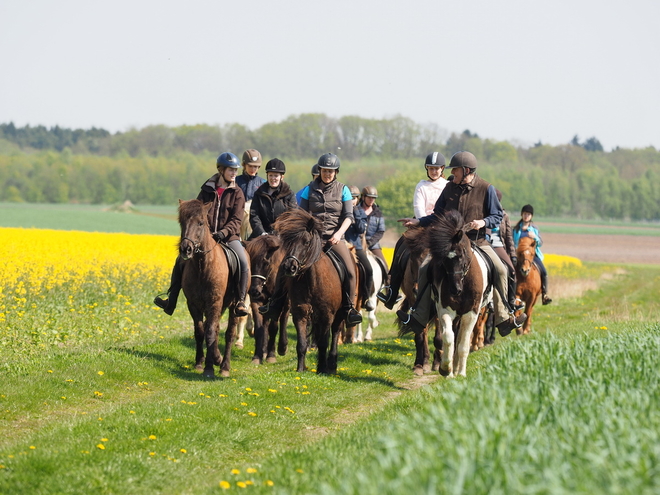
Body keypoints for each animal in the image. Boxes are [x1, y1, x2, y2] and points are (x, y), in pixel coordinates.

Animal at [177, 200, 246, 378]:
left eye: (201, 223)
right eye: (182, 222)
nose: (186, 249)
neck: (203, 266)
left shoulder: (214, 303)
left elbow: (210, 333)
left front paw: (211, 365)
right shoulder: (194, 304)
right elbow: (201, 332)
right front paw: (201, 363)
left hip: (233, 306)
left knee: (229, 334)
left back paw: (225, 366)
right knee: (214, 328)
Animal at [245, 232, 288, 364]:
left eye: (266, 263)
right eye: (249, 262)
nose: (254, 290)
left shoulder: (276, 305)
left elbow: (274, 328)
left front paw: (271, 355)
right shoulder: (257, 302)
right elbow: (259, 329)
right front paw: (257, 356)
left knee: (284, 318)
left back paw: (282, 347)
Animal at [272, 207, 356, 374]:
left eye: (306, 242)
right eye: (288, 242)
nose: (289, 267)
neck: (312, 280)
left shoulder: (327, 314)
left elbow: (324, 342)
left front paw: (322, 369)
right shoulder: (300, 313)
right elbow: (302, 344)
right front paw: (300, 369)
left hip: (340, 313)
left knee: (335, 333)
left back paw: (332, 365)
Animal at [404, 211, 492, 378]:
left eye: (462, 254)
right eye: (443, 259)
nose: (455, 289)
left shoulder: (471, 313)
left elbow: (463, 343)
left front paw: (461, 373)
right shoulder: (445, 309)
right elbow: (448, 337)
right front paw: (446, 369)